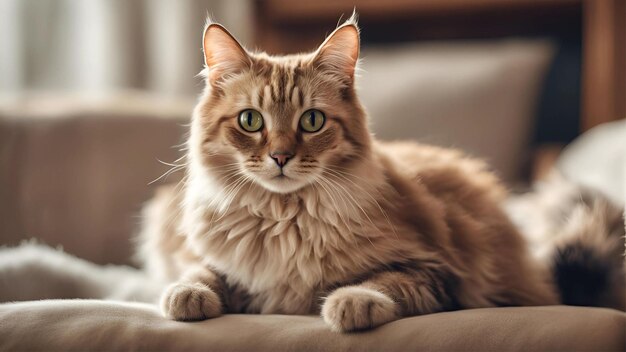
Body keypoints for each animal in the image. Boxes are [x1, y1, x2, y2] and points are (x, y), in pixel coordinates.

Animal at [133, 14, 620, 332]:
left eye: (312, 121)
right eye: (251, 121)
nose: (280, 157)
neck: (284, 218)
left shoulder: (435, 269)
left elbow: (385, 283)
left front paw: (351, 303)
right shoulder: (210, 259)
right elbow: (199, 274)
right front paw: (184, 295)